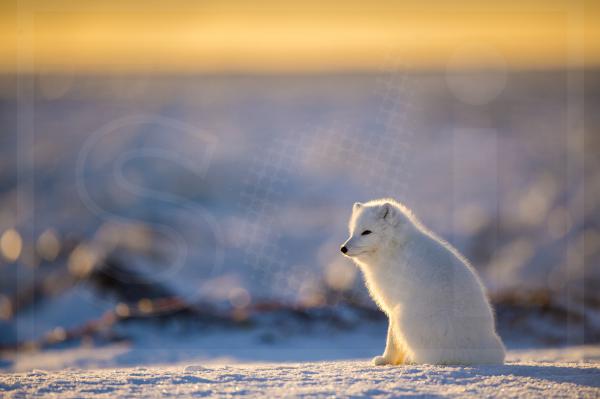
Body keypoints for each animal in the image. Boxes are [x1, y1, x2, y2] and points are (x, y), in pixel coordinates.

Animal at [340, 199, 504, 366]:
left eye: (366, 232)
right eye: (352, 232)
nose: (343, 248)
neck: (395, 247)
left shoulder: (395, 305)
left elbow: (392, 338)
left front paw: (386, 360)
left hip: (405, 317)